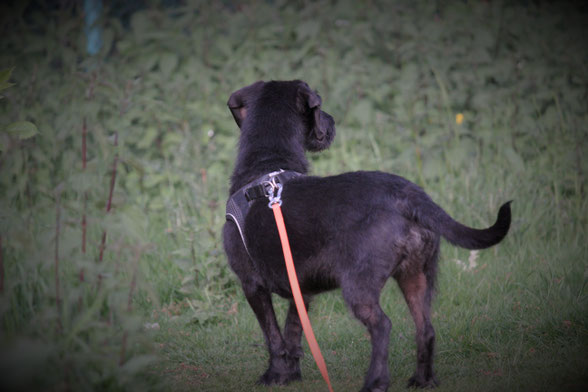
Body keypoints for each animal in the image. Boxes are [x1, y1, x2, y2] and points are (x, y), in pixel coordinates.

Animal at [222, 80, 510, 392]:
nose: (332, 122)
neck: (267, 165)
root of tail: (408, 196)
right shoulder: (301, 290)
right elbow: (293, 332)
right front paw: (290, 375)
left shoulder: (252, 284)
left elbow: (273, 337)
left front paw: (273, 376)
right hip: (416, 277)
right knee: (426, 329)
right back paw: (422, 381)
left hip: (359, 286)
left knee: (383, 326)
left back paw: (375, 382)